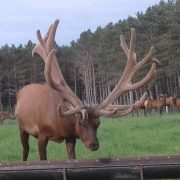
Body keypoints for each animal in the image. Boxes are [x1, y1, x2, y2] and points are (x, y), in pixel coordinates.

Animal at [15, 19, 158, 160]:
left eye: (98, 123)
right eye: (80, 122)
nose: (94, 144)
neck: (59, 122)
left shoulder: (70, 136)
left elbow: (72, 157)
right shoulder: (42, 134)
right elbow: (42, 158)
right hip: (21, 126)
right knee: (25, 150)